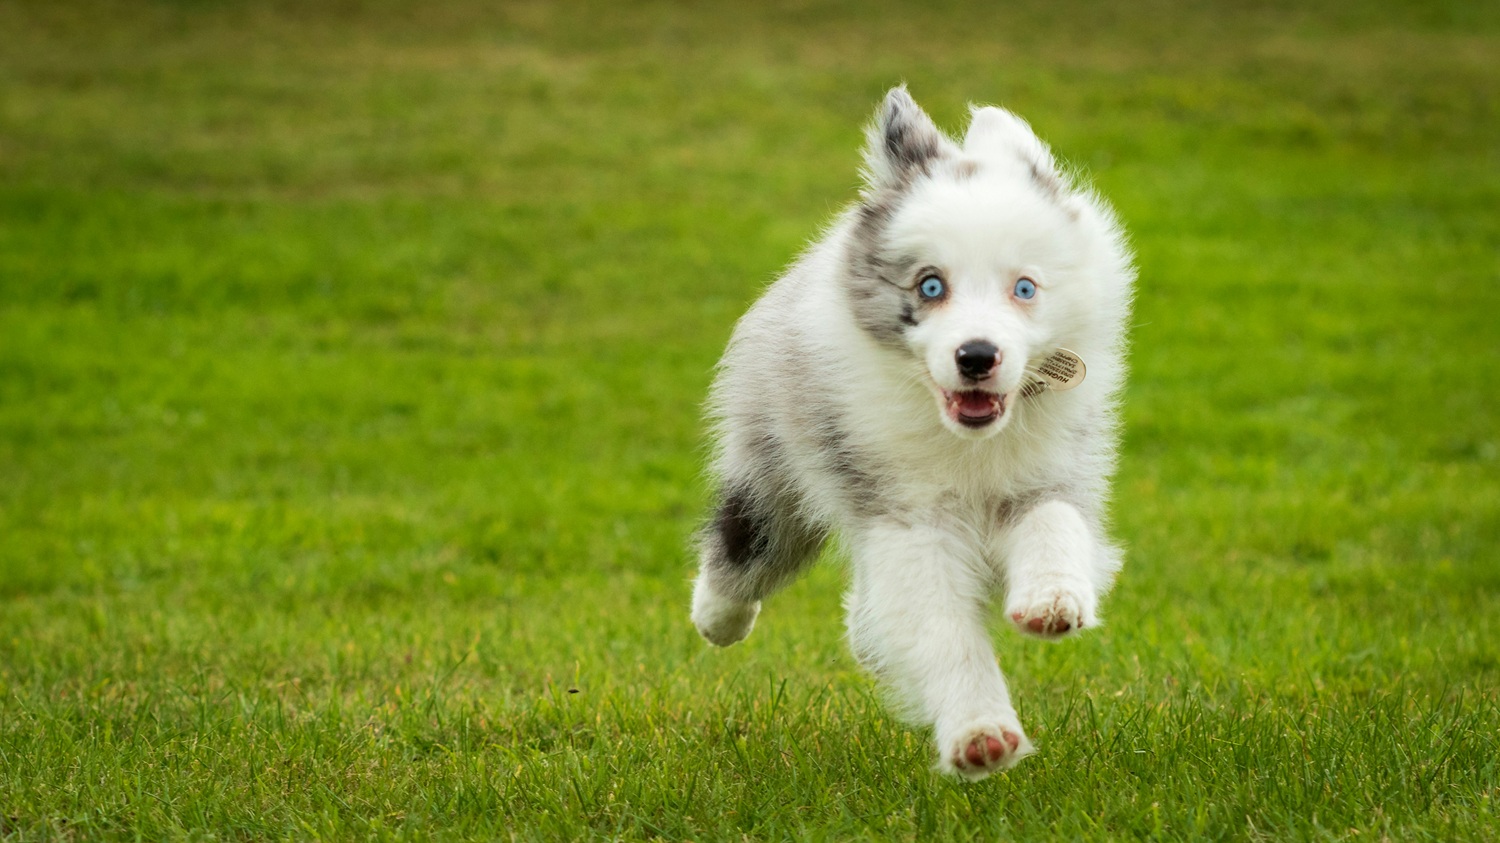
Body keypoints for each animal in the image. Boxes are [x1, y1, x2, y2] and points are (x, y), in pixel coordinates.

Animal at [690, 85, 1134, 774]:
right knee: (750, 539)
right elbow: (940, 629)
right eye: (930, 285)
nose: (977, 356)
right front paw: (981, 735)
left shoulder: (1052, 471)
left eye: (1024, 288)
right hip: (776, 459)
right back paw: (719, 617)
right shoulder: (908, 516)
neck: (969, 443)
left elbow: (1055, 523)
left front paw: (1051, 601)